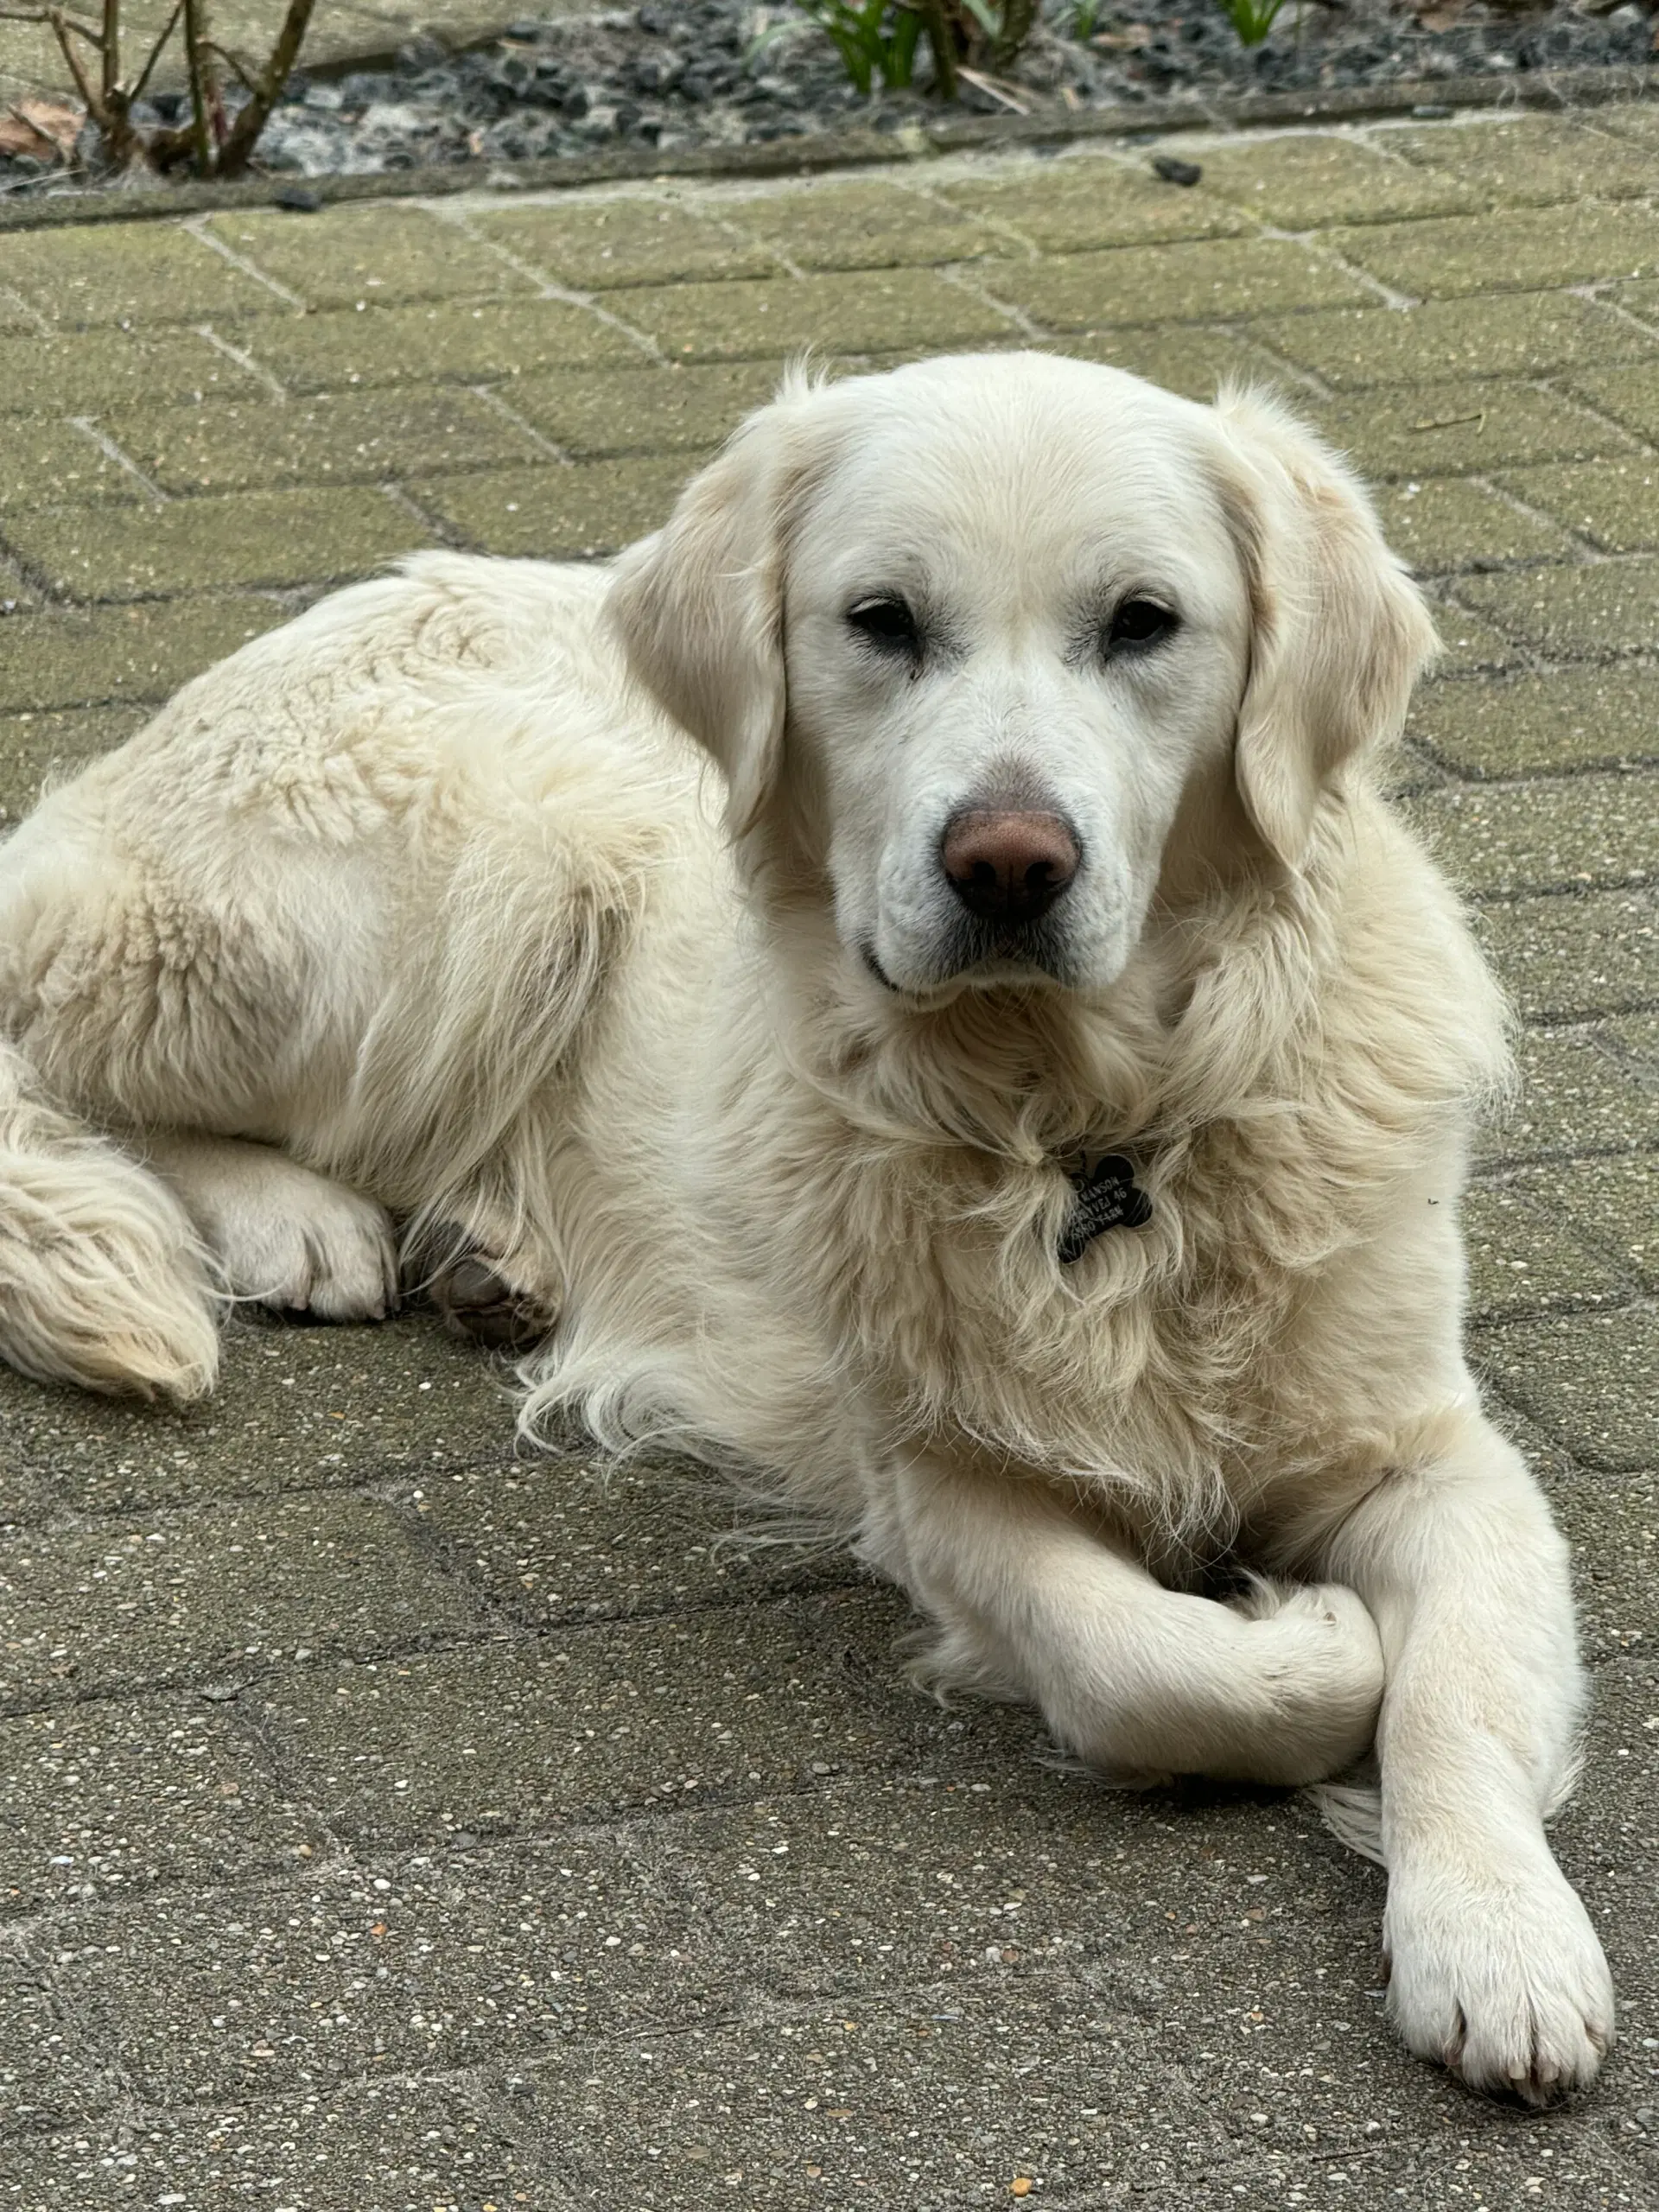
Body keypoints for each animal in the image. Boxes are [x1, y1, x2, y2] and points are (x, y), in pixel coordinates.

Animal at [0, 353, 1610, 2096]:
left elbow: (1457, 1697)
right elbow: (1150, 1669)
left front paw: (1499, 1942)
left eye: (1144, 623)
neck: (1078, 1135)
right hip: (479, 882)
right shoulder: (936, 1476)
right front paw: (1307, 1639)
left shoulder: (1429, 1454)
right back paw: (300, 1225)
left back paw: (487, 1255)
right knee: (72, 1060)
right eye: (882, 620)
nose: (1007, 862)